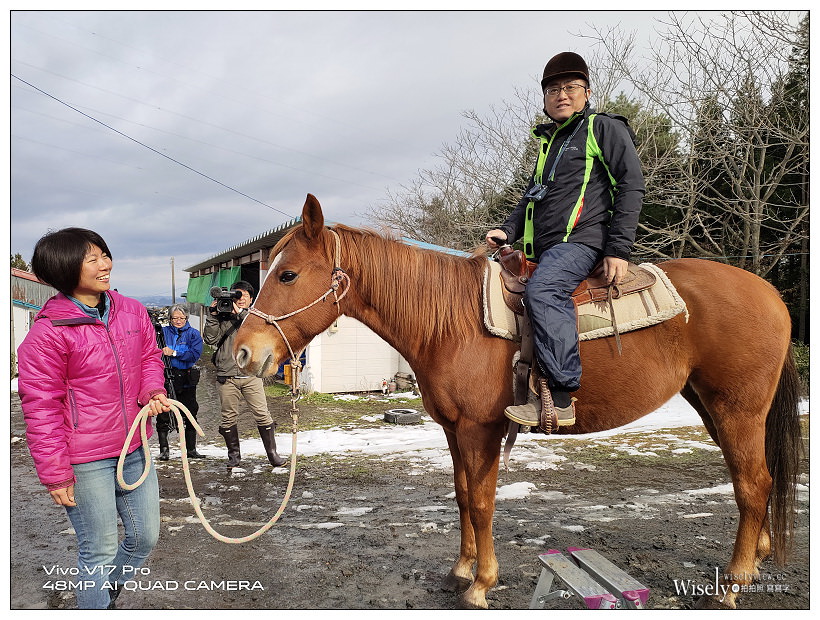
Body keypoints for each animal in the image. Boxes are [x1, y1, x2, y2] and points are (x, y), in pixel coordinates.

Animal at [234, 194, 802, 609]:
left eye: (287, 274)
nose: (243, 352)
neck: (453, 320)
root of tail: (771, 294)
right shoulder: (452, 429)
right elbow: (463, 496)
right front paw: (459, 570)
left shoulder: (480, 428)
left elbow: (483, 502)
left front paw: (481, 584)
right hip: (712, 405)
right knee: (755, 479)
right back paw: (757, 558)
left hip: (737, 407)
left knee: (753, 484)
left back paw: (734, 583)